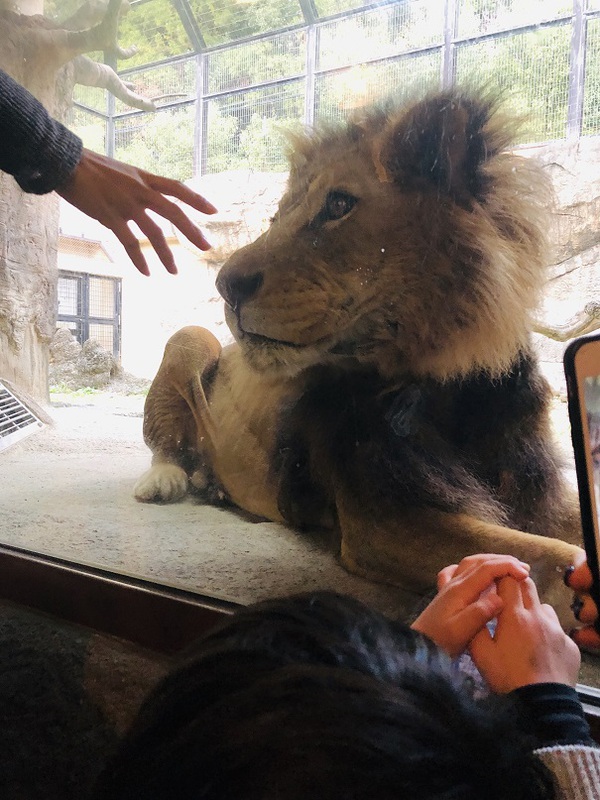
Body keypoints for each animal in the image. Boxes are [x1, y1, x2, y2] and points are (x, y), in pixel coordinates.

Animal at [134, 87, 584, 624]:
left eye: (339, 204)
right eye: (278, 217)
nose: (226, 285)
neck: (451, 386)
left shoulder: (537, 489)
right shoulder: (385, 519)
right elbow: (554, 556)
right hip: (192, 337)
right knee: (166, 439)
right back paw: (167, 481)